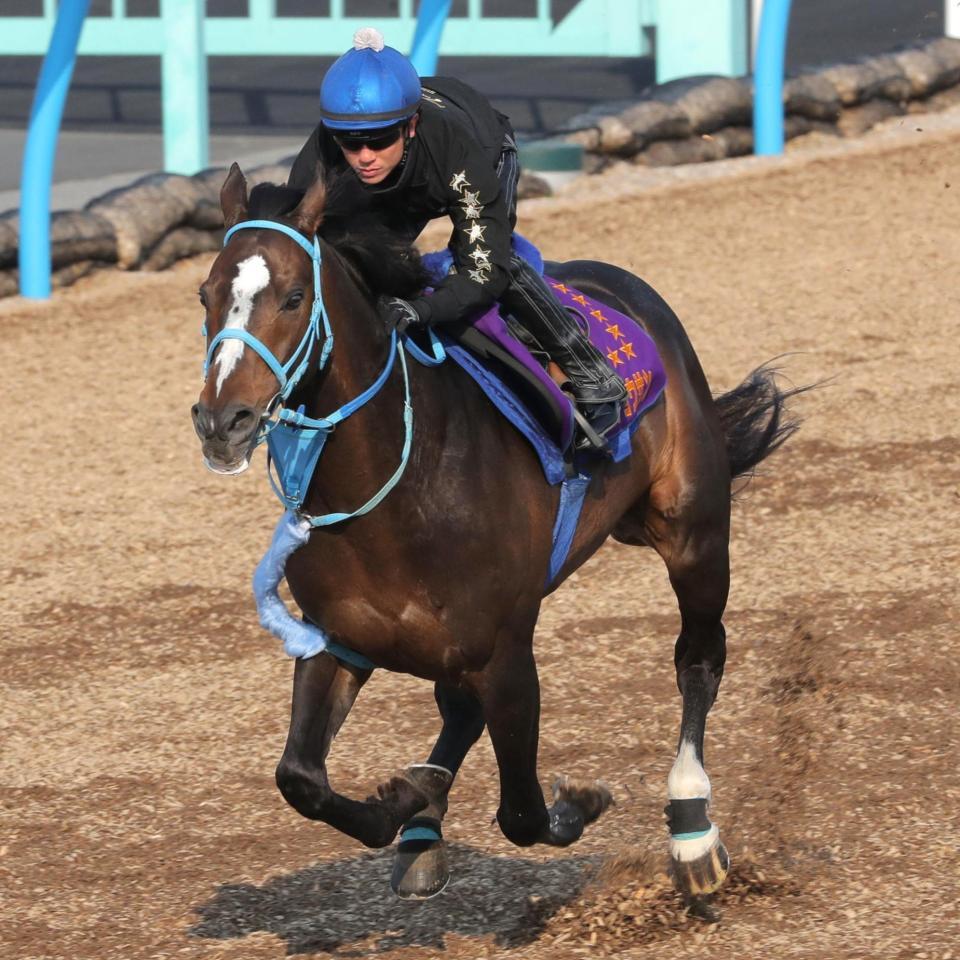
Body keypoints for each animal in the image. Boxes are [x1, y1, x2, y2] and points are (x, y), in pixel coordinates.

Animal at [191, 162, 799, 902]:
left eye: (293, 296)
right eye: (205, 294)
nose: (222, 421)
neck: (399, 481)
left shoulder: (507, 656)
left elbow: (525, 813)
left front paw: (579, 802)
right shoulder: (336, 638)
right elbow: (301, 779)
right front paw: (408, 800)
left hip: (695, 534)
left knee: (699, 659)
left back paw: (692, 833)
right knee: (456, 712)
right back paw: (424, 826)